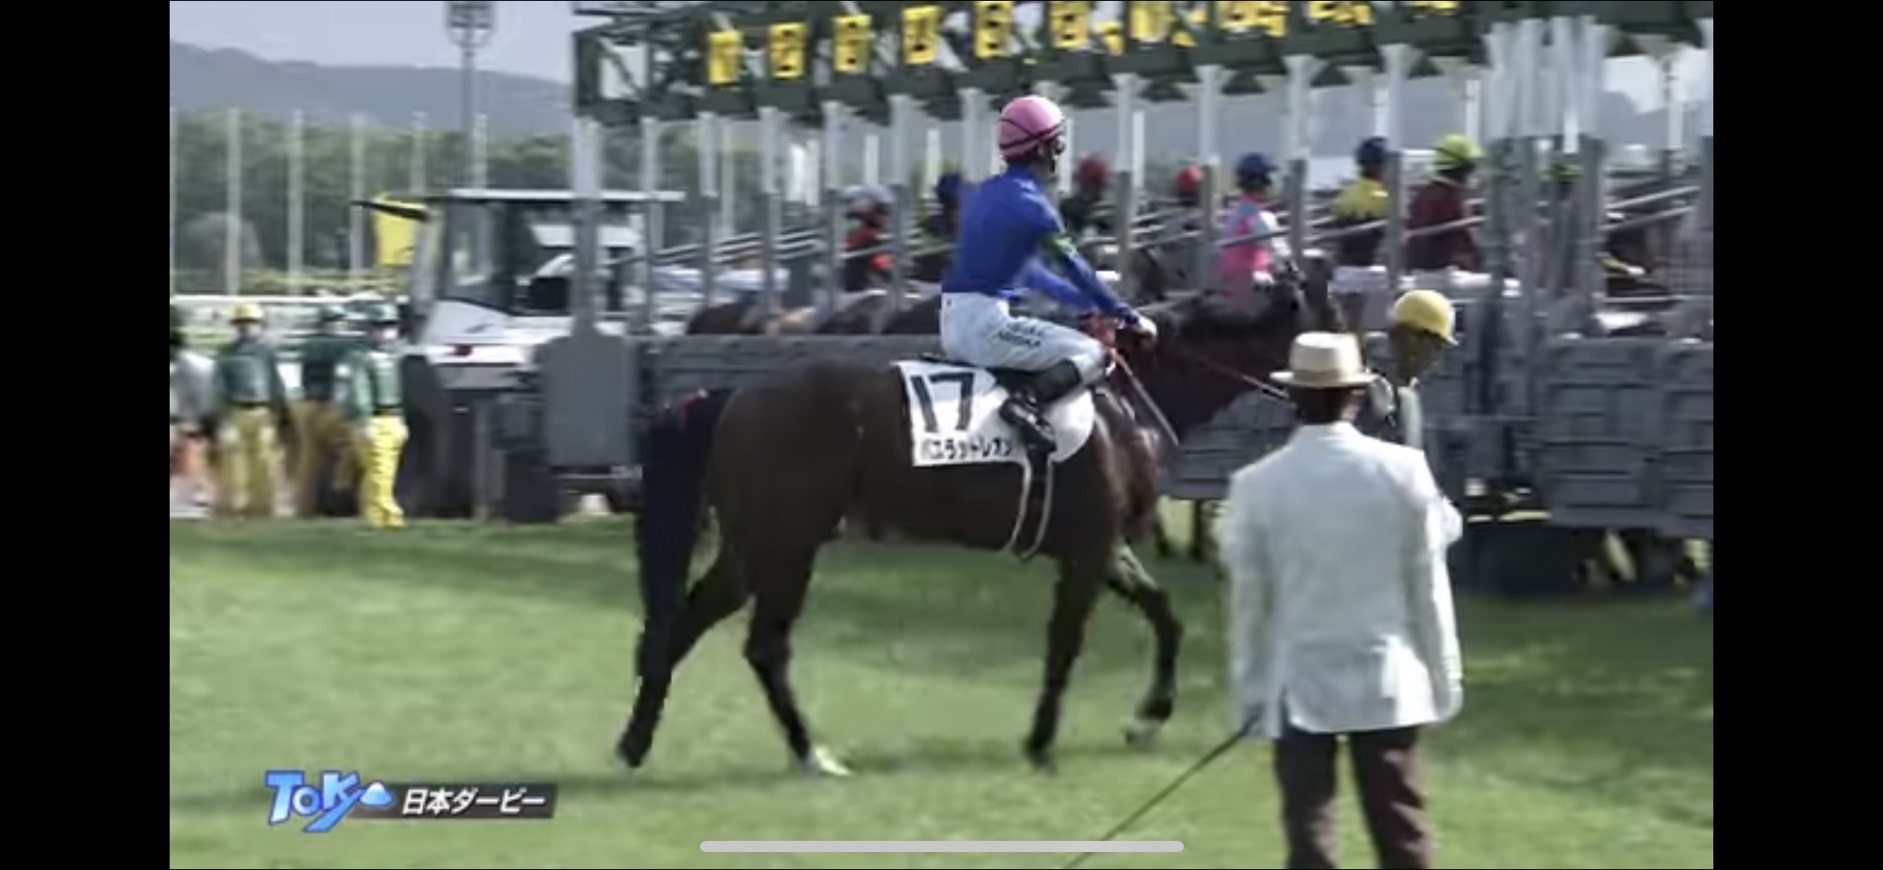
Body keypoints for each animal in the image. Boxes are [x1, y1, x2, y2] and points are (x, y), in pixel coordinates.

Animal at [617, 290, 1306, 776]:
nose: (1353, 400)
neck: (1124, 405)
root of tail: (735, 397)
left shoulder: (1105, 548)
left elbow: (1165, 615)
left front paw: (1148, 719)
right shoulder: (1087, 553)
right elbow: (1065, 645)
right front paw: (1041, 744)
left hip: (751, 548)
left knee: (684, 627)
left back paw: (635, 744)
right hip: (788, 548)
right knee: (765, 647)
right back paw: (812, 754)